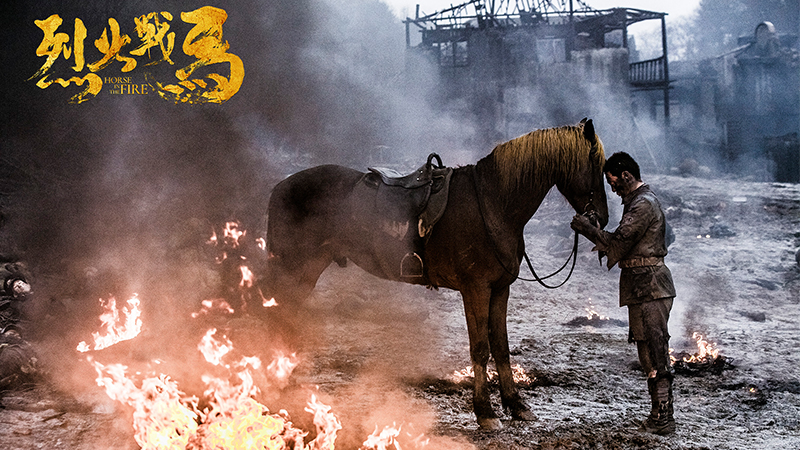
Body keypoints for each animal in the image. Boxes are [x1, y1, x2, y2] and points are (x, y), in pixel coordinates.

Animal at [260, 118, 608, 428]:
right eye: (595, 163)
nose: (602, 218)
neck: (493, 203)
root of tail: (279, 187)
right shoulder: (476, 289)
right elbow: (480, 348)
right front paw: (485, 412)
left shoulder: (500, 288)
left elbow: (501, 347)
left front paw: (516, 404)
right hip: (291, 269)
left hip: (305, 273)